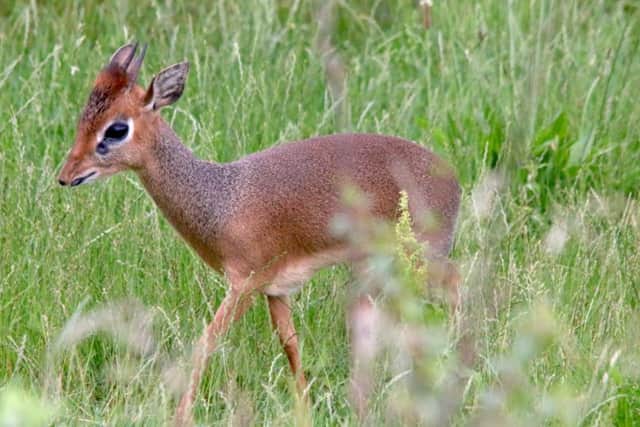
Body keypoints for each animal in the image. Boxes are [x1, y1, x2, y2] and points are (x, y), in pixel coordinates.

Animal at [57, 43, 461, 425]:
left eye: (117, 128)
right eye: (83, 117)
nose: (65, 175)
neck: (222, 199)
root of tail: (453, 177)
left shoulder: (244, 284)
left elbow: (206, 341)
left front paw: (181, 417)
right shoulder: (276, 291)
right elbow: (291, 346)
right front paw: (304, 411)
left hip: (419, 260)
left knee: (452, 286)